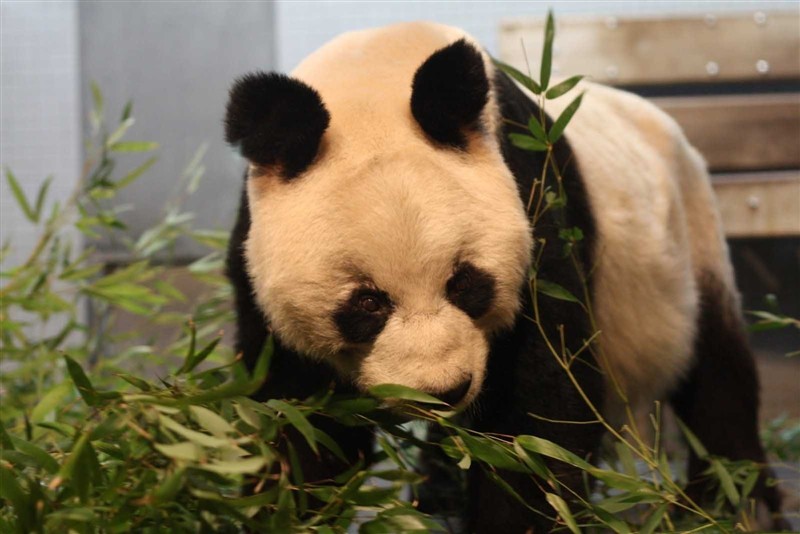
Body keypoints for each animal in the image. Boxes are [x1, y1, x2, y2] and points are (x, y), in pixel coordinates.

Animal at [222, 19, 784, 532]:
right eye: (367, 303)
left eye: (465, 283)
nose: (444, 391)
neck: (372, 79)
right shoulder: (255, 259)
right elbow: (301, 422)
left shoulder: (533, 199)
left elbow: (539, 416)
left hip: (691, 235)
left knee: (717, 373)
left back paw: (733, 503)